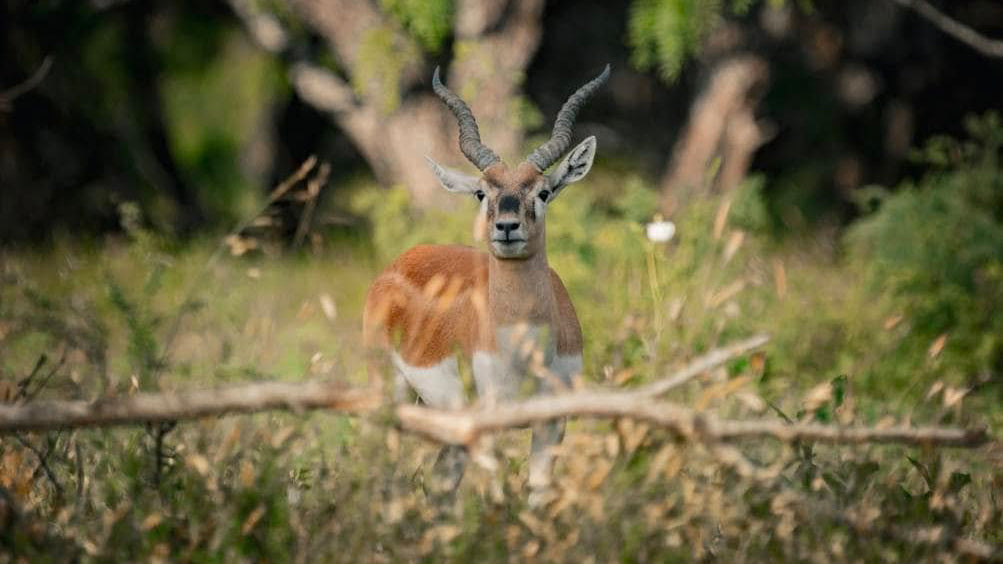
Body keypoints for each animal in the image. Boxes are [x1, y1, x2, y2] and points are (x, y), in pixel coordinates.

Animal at [363, 65, 610, 502]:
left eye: (543, 192)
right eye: (481, 192)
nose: (507, 227)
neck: (523, 349)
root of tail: (403, 260)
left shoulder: (552, 425)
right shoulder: (486, 427)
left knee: (440, 484)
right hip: (390, 391)